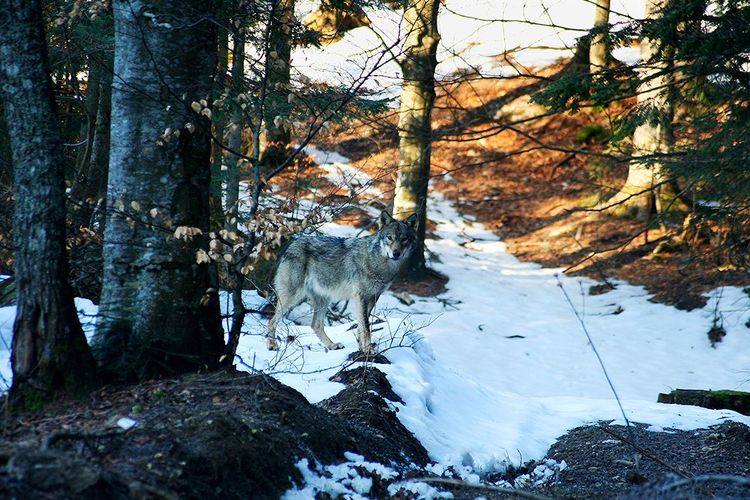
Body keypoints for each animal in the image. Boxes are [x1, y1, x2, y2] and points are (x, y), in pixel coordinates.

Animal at [266, 211, 420, 356]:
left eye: (404, 239)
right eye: (389, 237)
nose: (396, 253)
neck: (378, 262)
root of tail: (292, 244)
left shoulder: (373, 297)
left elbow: (361, 324)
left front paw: (361, 347)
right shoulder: (361, 296)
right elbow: (366, 326)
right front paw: (369, 350)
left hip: (323, 299)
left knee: (315, 325)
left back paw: (332, 345)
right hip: (292, 297)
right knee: (272, 321)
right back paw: (272, 345)